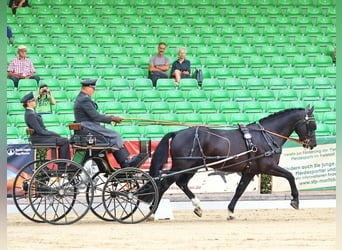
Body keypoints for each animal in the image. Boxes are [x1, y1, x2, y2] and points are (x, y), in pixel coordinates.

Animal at [148, 106, 318, 220]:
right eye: (312, 125)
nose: (313, 144)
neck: (267, 136)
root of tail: (177, 133)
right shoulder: (269, 167)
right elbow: (290, 176)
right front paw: (295, 200)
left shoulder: (250, 171)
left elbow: (239, 190)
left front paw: (230, 211)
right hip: (183, 166)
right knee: (164, 184)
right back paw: (152, 211)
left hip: (191, 167)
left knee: (181, 183)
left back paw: (197, 207)